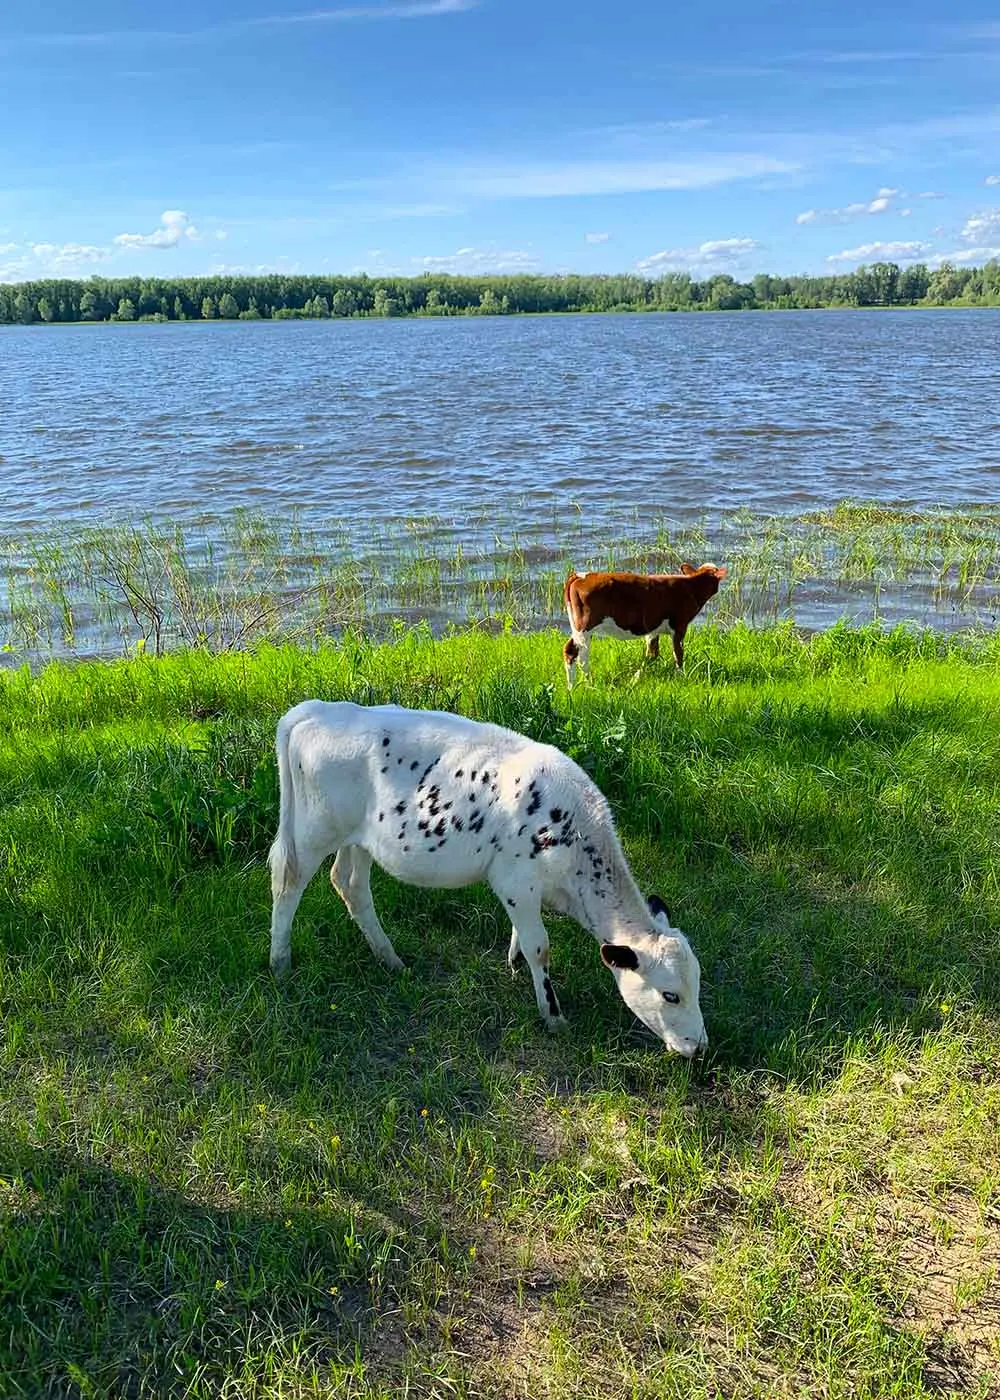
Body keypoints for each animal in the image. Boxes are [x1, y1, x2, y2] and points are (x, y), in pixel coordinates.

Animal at [268, 700, 707, 1057]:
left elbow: (522, 937)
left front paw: (514, 962)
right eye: (670, 995)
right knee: (289, 885)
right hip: (313, 831)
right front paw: (553, 1016)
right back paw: (280, 962)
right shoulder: (515, 881)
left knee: (350, 885)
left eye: (698, 983)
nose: (699, 1047)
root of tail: (315, 709)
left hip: (359, 839)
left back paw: (390, 959)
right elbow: (540, 946)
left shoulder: (524, 890)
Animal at [563, 563, 727, 688]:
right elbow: (678, 653)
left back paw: (572, 687)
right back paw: (588, 683)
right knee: (578, 654)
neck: (691, 586)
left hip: (578, 628)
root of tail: (579, 575)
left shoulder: (653, 629)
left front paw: (635, 679)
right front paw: (681, 677)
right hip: (585, 627)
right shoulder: (680, 625)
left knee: (572, 651)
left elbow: (651, 655)